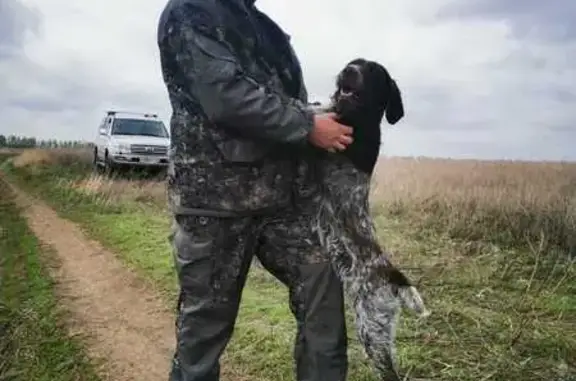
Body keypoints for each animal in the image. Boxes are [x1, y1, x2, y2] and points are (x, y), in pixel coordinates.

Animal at [310, 58, 428, 378]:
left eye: (373, 71)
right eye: (352, 62)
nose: (348, 71)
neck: (358, 119)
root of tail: (397, 279)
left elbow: (312, 111)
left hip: (372, 328)